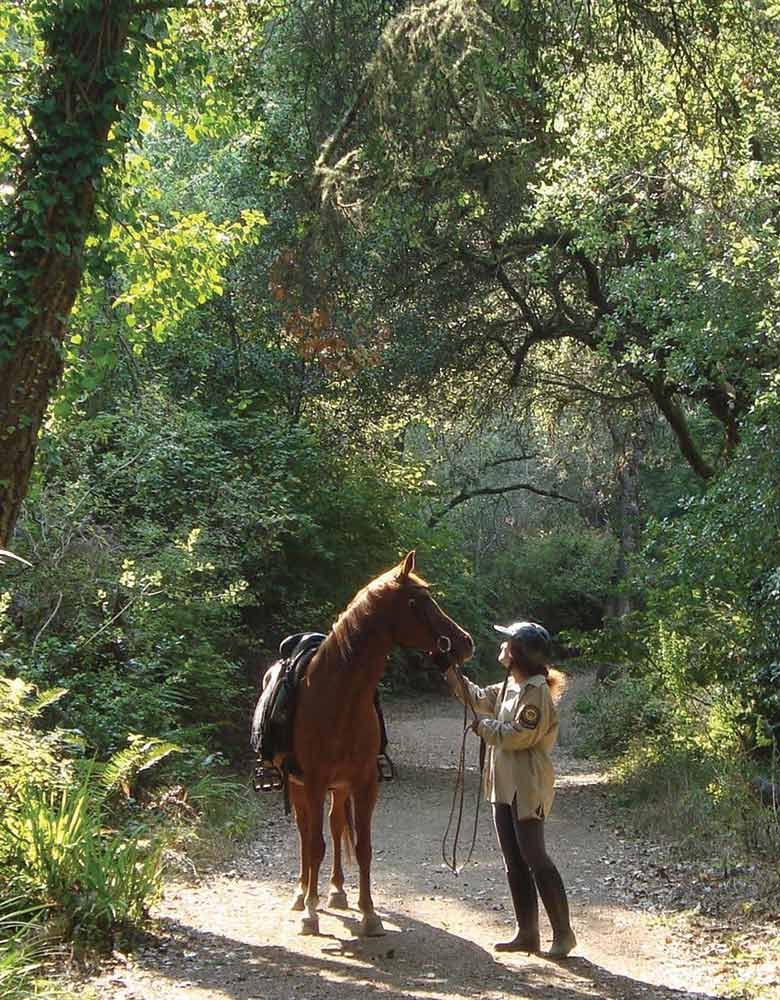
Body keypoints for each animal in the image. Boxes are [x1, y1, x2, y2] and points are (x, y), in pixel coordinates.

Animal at [284, 548, 470, 936]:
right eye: (419, 600)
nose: (465, 642)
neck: (340, 698)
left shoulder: (364, 782)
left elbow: (364, 847)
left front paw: (369, 913)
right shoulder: (314, 782)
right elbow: (314, 844)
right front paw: (310, 912)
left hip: (340, 788)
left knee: (336, 825)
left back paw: (337, 891)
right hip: (298, 785)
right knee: (305, 832)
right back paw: (301, 893)